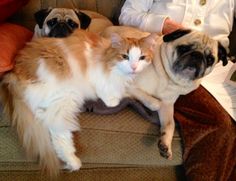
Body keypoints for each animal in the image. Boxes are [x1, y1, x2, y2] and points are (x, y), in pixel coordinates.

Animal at [0, 29, 159, 175]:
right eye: (125, 56)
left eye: (142, 58)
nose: (134, 67)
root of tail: (15, 71)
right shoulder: (99, 77)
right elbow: (114, 95)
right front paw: (115, 99)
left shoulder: (129, 85)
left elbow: (138, 93)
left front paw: (154, 103)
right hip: (66, 96)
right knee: (55, 128)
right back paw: (73, 162)